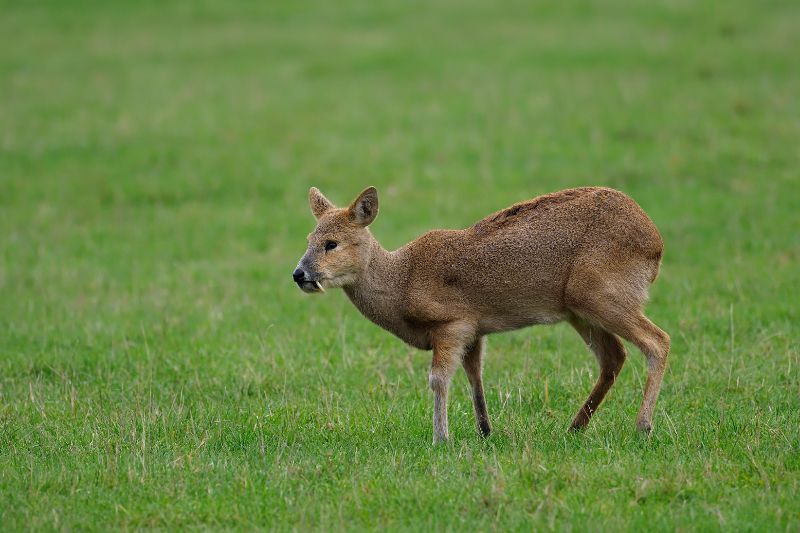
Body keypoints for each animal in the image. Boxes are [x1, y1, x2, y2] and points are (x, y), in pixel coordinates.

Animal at [294, 185, 668, 442]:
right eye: (309, 238)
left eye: (331, 243)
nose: (299, 274)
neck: (401, 281)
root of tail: (656, 244)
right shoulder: (475, 329)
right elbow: (475, 376)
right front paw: (485, 431)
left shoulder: (452, 323)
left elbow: (439, 379)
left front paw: (441, 438)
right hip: (580, 309)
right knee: (614, 357)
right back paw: (575, 427)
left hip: (601, 294)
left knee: (658, 341)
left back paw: (643, 426)